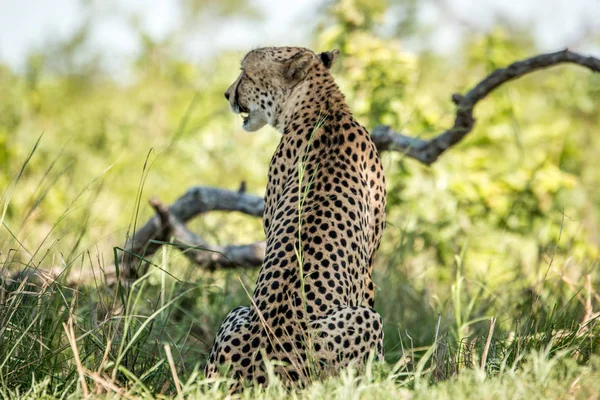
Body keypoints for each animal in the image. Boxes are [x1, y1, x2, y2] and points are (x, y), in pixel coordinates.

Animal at [204, 47, 386, 388]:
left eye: (245, 74)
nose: (226, 94)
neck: (325, 108)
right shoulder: (367, 266)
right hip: (362, 322)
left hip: (237, 317)